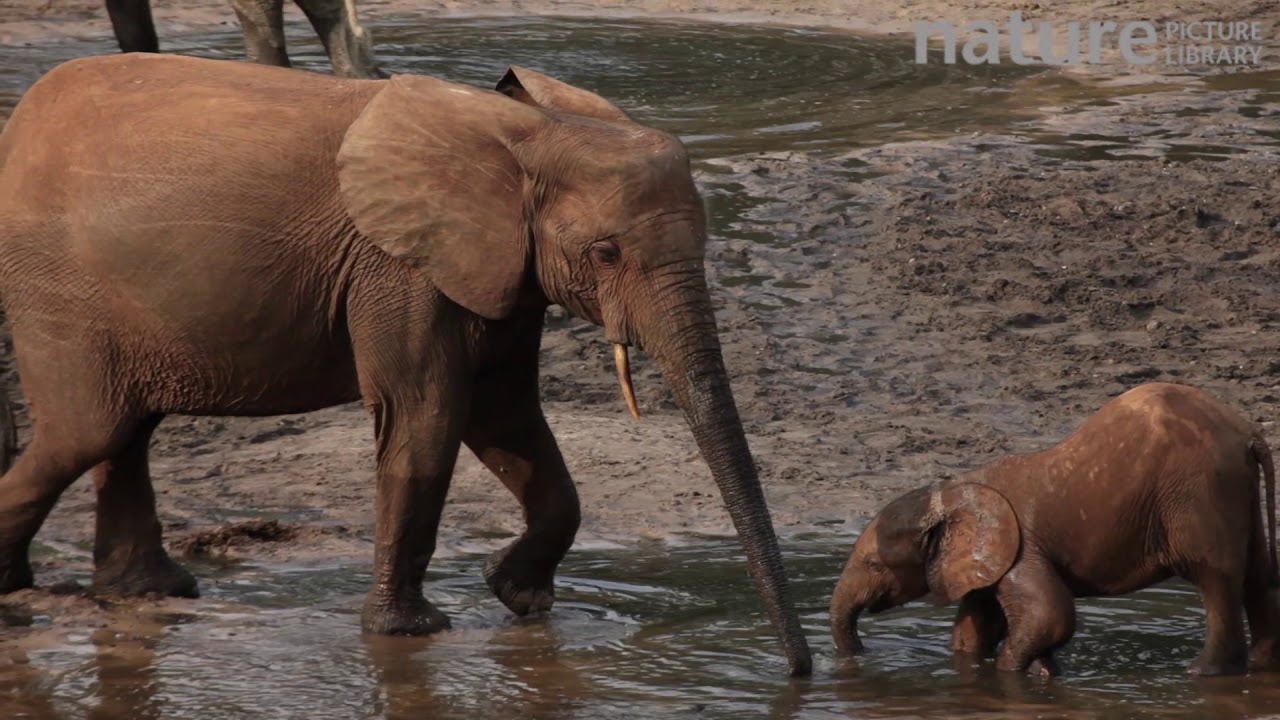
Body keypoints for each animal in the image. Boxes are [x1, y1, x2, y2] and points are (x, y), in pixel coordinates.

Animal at [0, 53, 812, 677]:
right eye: (607, 253)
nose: (801, 674)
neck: (531, 135)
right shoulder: (399, 266)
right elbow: (429, 417)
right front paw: (411, 634)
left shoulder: (498, 266)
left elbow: (507, 418)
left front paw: (521, 599)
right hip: (53, 290)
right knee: (86, 432)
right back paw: (21, 593)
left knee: (122, 432)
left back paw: (149, 593)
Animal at [829, 382, 1279, 677]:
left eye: (874, 564)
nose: (861, 658)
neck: (957, 490)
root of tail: (1248, 432)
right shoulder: (986, 561)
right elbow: (974, 630)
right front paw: (1037, 672)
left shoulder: (1021, 550)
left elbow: (1051, 615)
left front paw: (1013, 673)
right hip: (1236, 495)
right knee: (1256, 576)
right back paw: (1261, 666)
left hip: (1198, 494)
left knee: (1216, 580)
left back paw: (1201, 674)